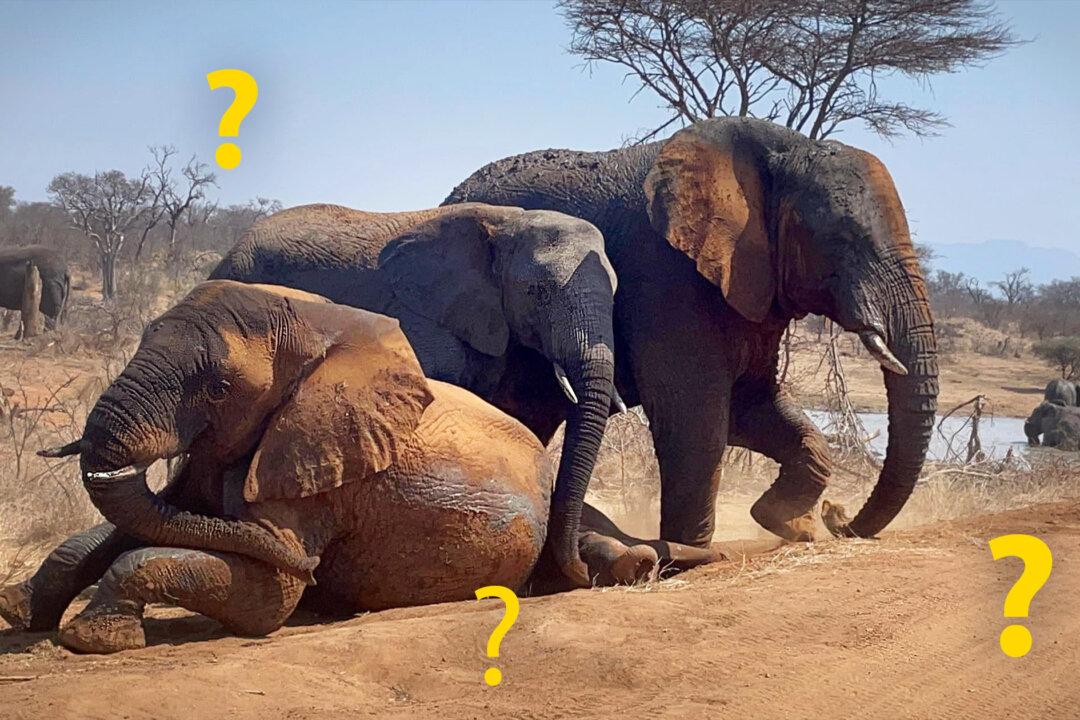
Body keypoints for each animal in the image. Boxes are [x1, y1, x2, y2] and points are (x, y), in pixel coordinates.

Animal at [1, 281, 717, 650]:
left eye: (217, 388)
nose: (324, 578)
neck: (309, 323)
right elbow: (145, 524)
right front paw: (19, 610)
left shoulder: (316, 467)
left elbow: (267, 596)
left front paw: (94, 636)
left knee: (601, 546)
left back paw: (636, 565)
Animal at [445, 116, 940, 560]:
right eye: (844, 239)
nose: (839, 517)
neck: (787, 149)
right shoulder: (668, 277)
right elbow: (696, 421)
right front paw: (692, 549)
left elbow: (753, 408)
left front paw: (785, 523)